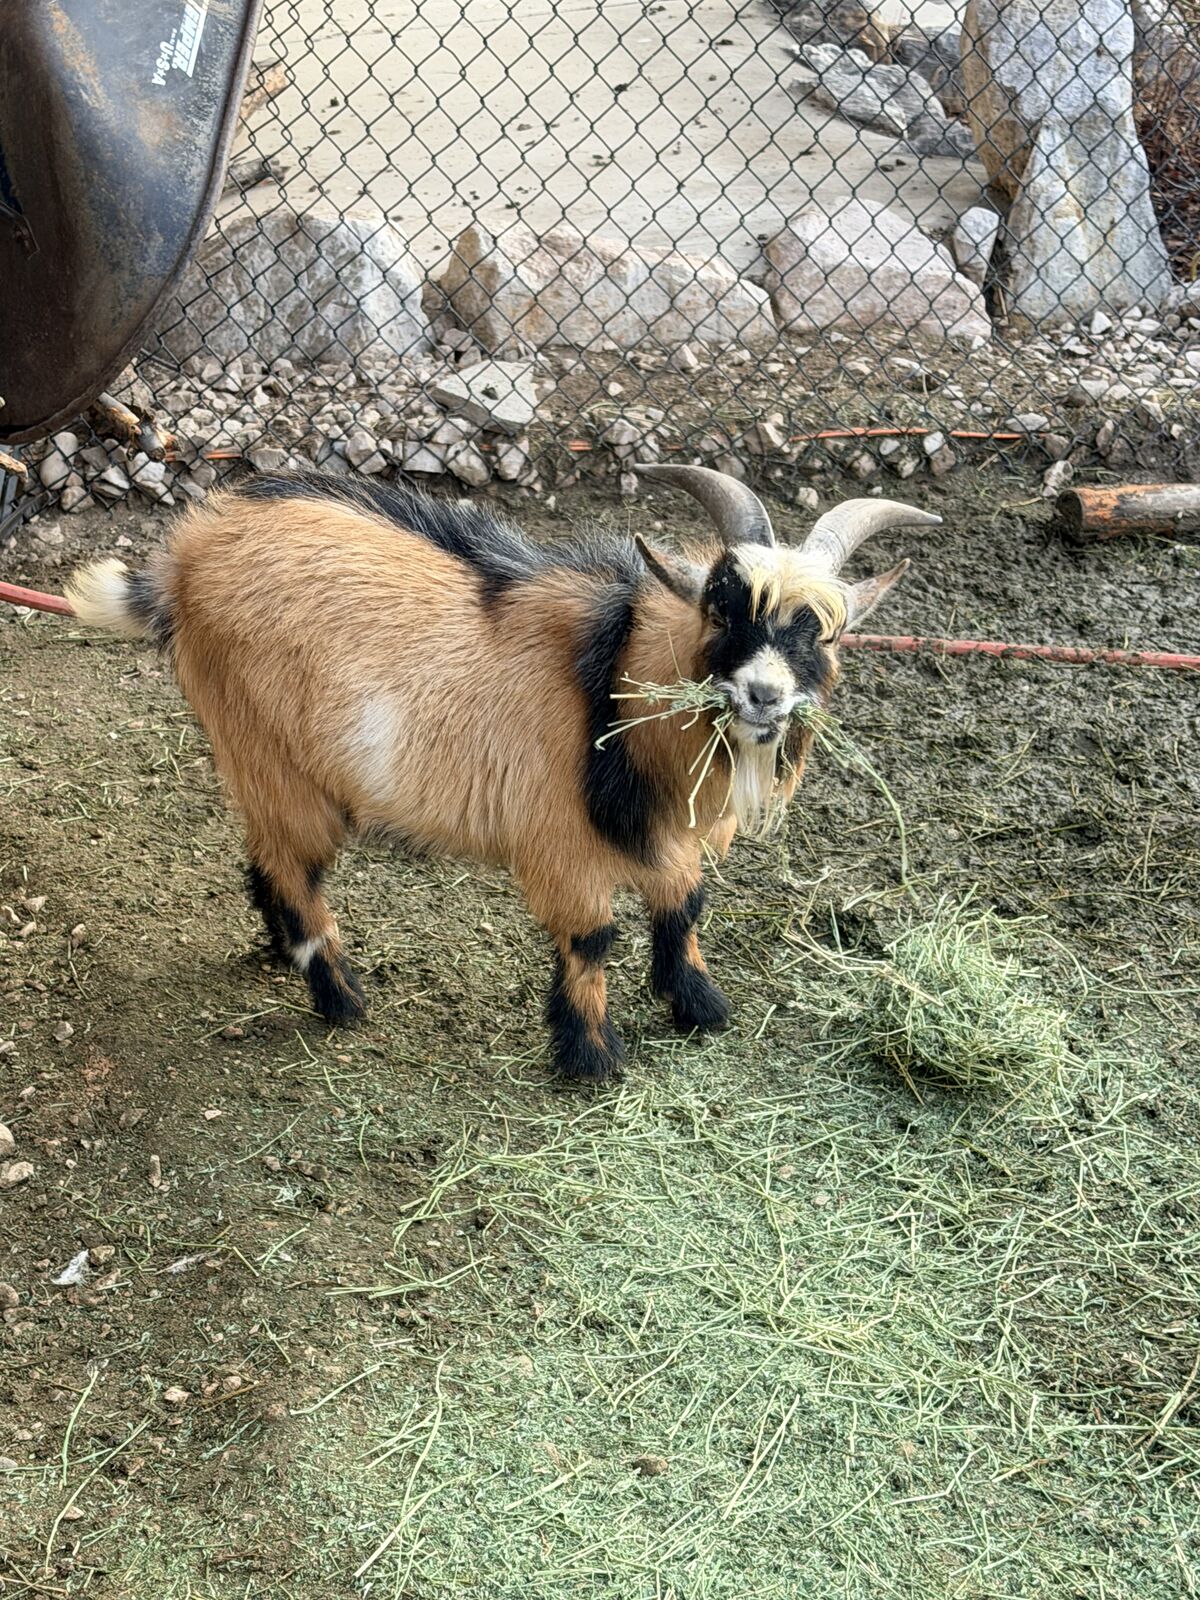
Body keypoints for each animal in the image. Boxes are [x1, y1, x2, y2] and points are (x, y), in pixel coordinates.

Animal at [66, 465, 938, 1079]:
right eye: (723, 609)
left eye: (823, 632)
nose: (764, 694)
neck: (609, 673)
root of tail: (183, 558)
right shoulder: (560, 838)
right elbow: (591, 937)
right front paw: (591, 1058)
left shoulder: (665, 834)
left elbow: (683, 905)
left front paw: (699, 1007)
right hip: (268, 753)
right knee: (293, 869)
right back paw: (340, 997)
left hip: (266, 766)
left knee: (265, 859)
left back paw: (284, 954)